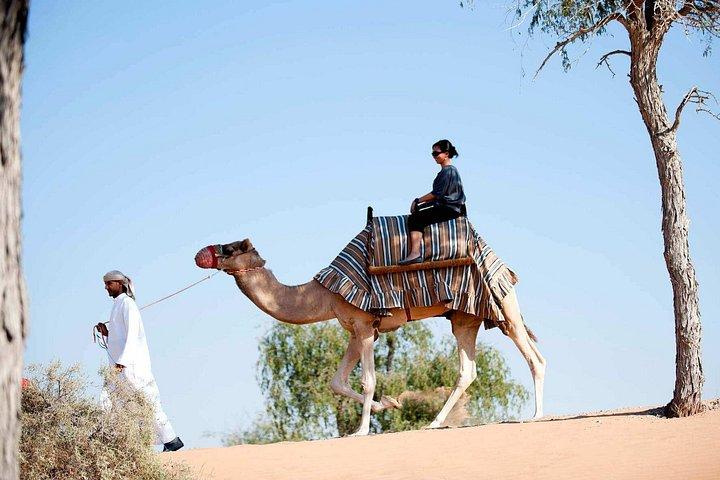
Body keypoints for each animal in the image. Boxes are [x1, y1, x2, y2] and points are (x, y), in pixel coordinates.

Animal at [195, 239, 546, 436]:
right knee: (468, 370)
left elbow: (367, 380)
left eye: (229, 247)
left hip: (504, 304)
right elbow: (336, 382)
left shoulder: (364, 324)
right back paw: (434, 423)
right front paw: (387, 405)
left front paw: (361, 430)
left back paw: (536, 416)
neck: (323, 294)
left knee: (534, 357)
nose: (200, 254)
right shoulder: (355, 329)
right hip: (464, 318)